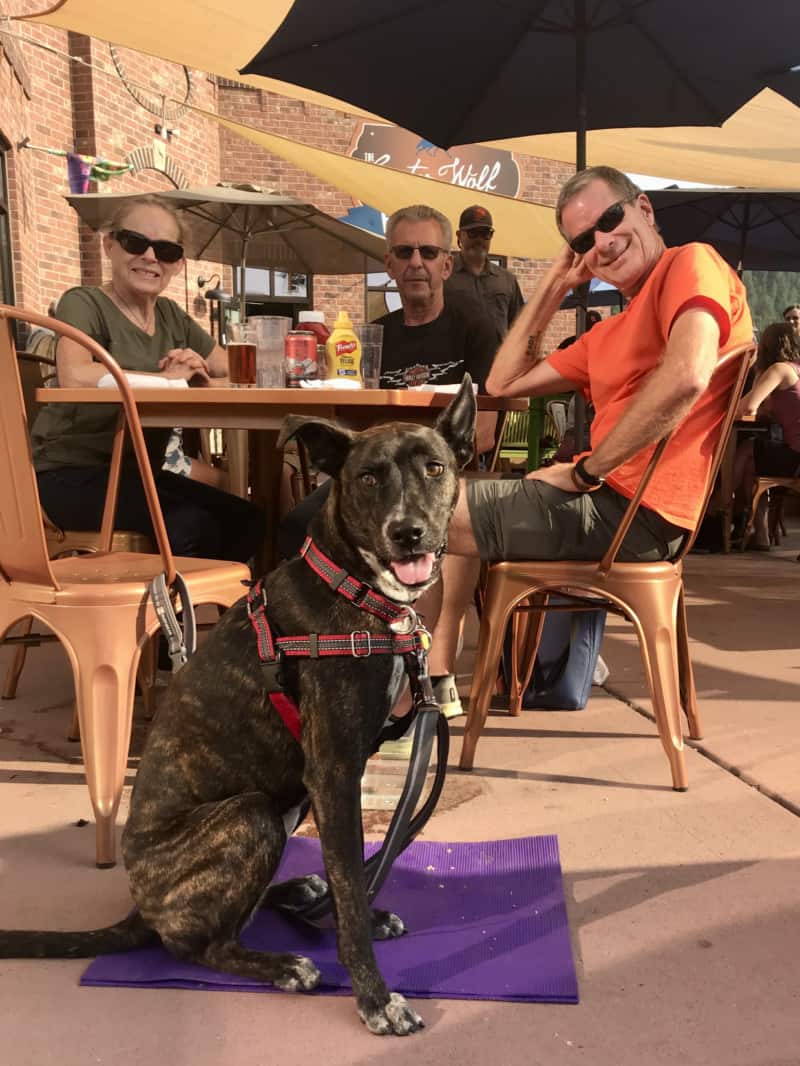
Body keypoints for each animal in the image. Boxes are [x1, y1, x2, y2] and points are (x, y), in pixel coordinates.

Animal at [0, 375, 475, 1031]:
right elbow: (352, 886)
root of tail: (140, 906)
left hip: (286, 804)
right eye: (368, 477)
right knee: (199, 944)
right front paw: (376, 998)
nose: (409, 533)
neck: (351, 586)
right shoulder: (332, 774)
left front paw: (352, 917)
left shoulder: (329, 782)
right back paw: (281, 964)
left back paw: (298, 897)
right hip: (252, 815)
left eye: (435, 467)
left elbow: (350, 879)